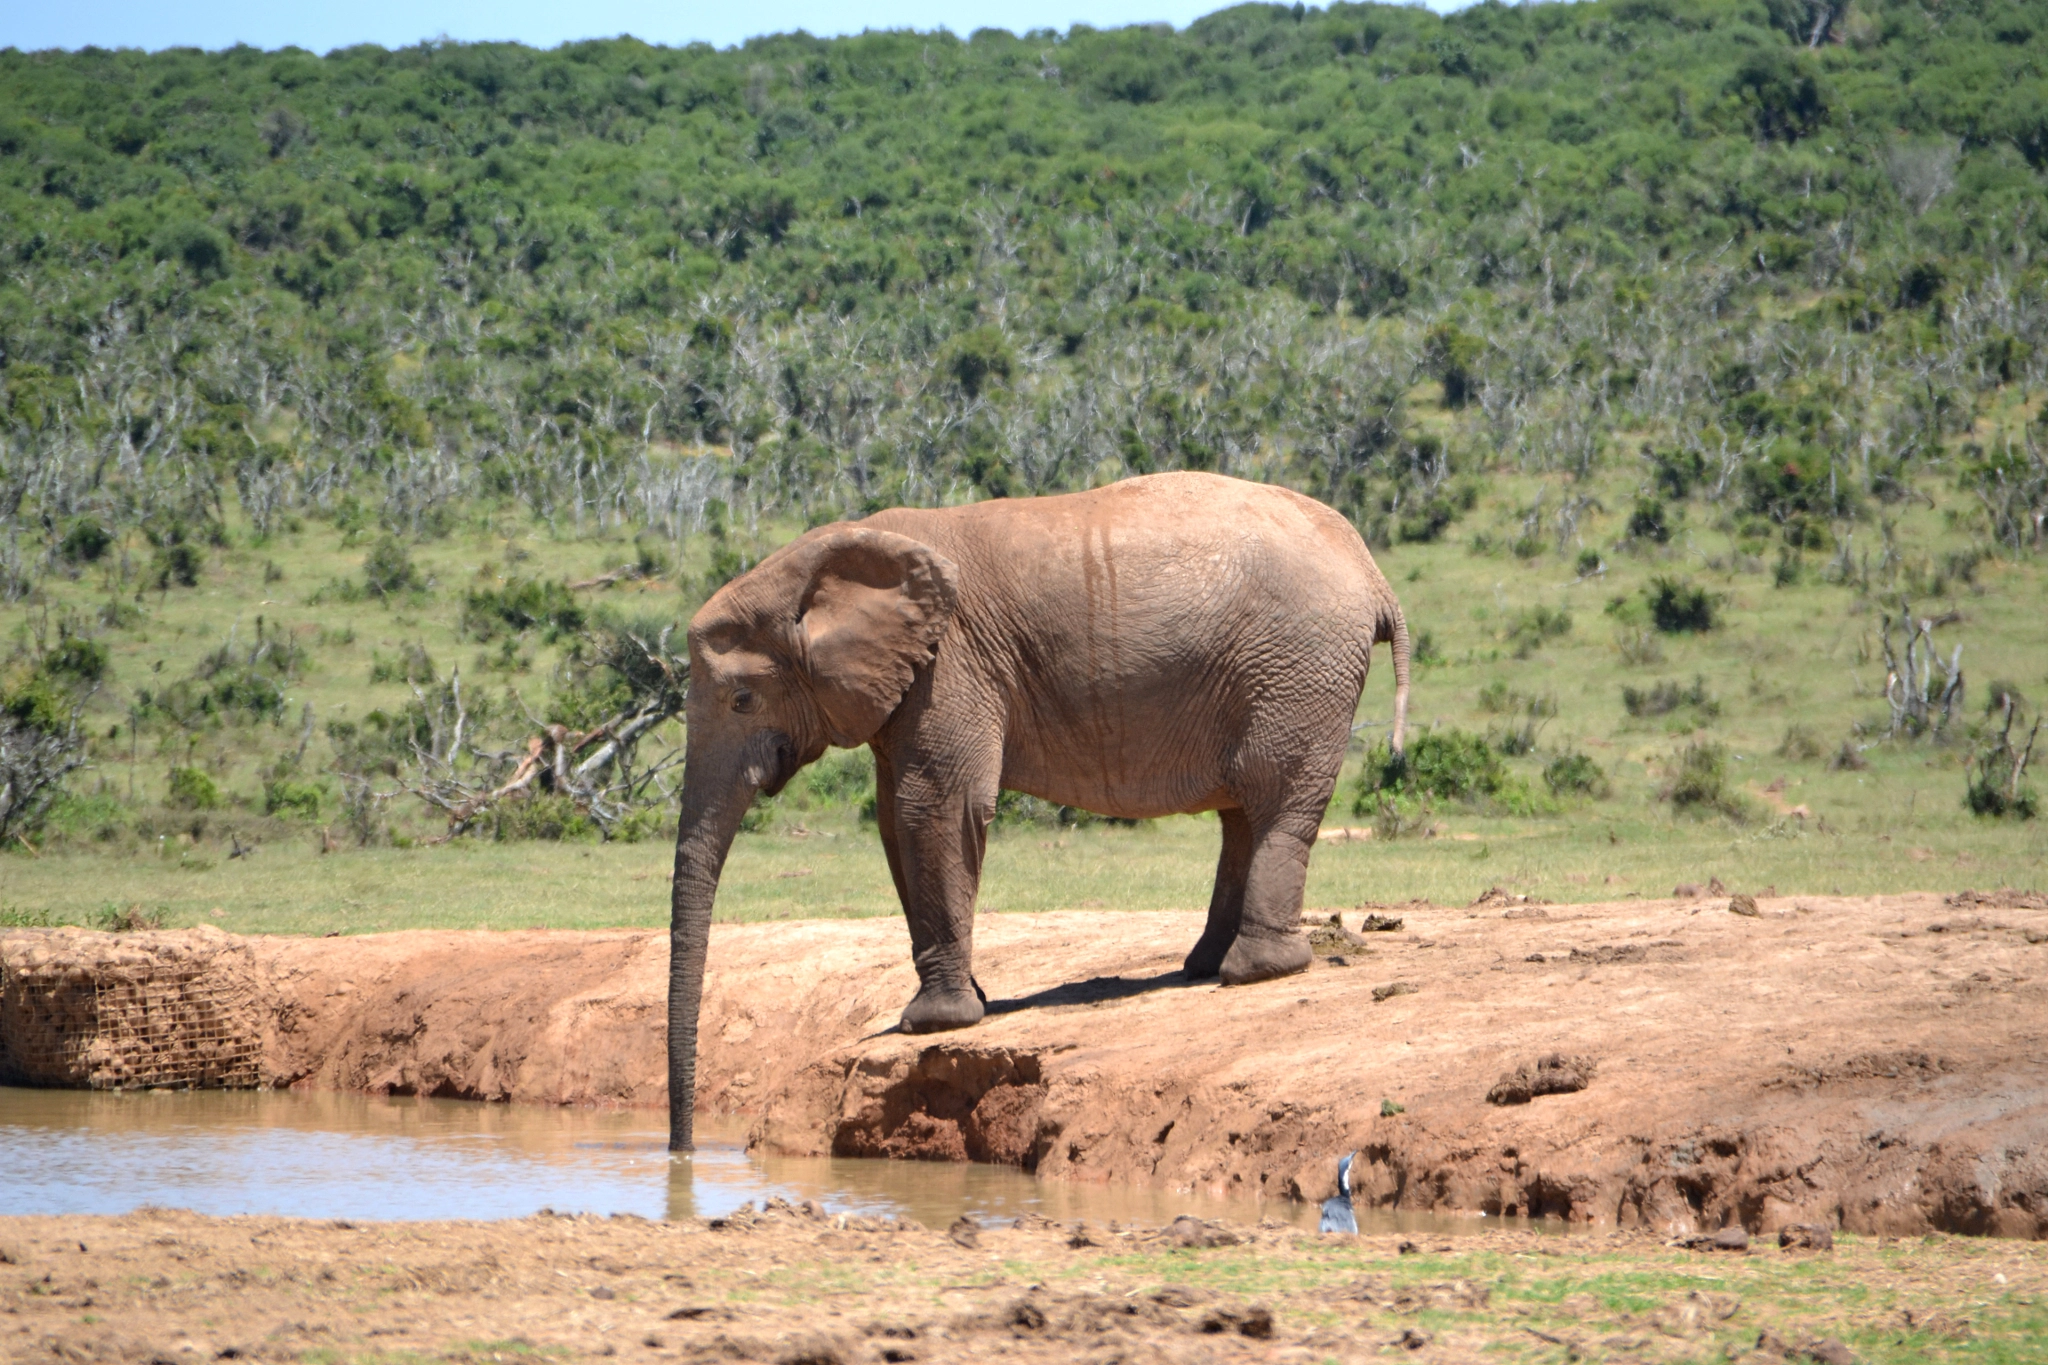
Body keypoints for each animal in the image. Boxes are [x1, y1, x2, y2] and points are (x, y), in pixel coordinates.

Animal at [666, 471, 1410, 1149]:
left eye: (741, 699)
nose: (682, 1152)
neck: (831, 560)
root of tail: (1371, 570)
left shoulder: (953, 662)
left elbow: (932, 805)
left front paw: (934, 1024)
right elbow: (892, 821)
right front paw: (967, 1004)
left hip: (1300, 667)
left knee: (1275, 797)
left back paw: (1254, 970)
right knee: (1243, 812)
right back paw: (1203, 965)